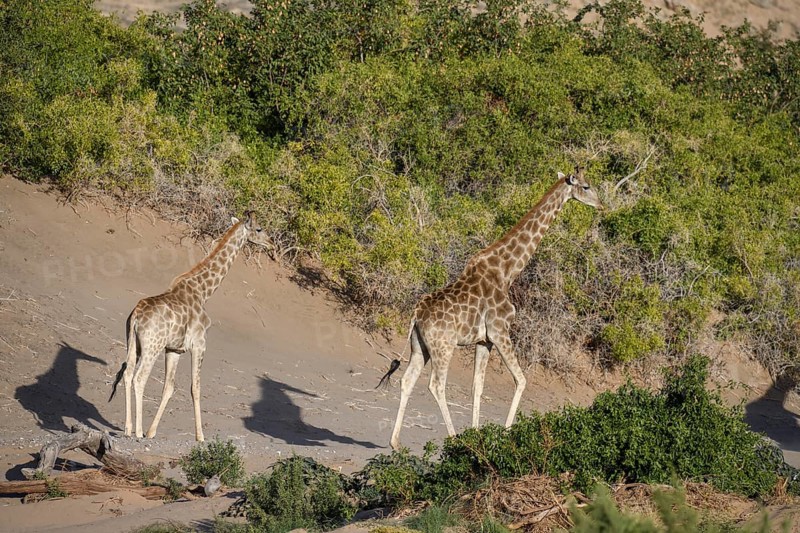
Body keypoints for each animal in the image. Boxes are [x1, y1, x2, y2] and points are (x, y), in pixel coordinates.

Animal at [109, 211, 272, 441]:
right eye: (259, 229)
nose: (271, 243)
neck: (204, 292)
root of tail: (136, 317)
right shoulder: (199, 344)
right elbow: (195, 387)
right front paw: (200, 436)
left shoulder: (174, 349)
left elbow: (169, 387)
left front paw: (152, 432)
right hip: (152, 347)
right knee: (139, 378)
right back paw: (138, 432)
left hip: (133, 344)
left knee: (127, 374)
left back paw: (128, 427)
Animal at [386, 169, 602, 450]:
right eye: (586, 186)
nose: (601, 205)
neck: (507, 271)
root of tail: (416, 315)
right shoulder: (500, 330)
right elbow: (521, 380)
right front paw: (506, 434)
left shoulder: (484, 340)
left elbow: (477, 386)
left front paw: (477, 434)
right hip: (443, 346)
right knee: (436, 385)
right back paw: (453, 438)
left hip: (419, 345)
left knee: (407, 380)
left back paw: (395, 443)